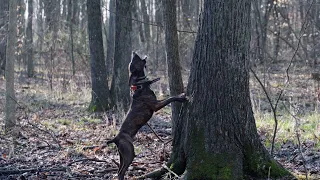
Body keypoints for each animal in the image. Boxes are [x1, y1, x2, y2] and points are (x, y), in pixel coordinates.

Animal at [107, 51, 188, 179]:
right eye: (133, 61)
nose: (134, 52)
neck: (140, 86)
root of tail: (115, 139)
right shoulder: (156, 106)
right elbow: (169, 98)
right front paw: (181, 97)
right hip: (129, 152)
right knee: (121, 171)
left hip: (121, 155)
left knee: (119, 169)